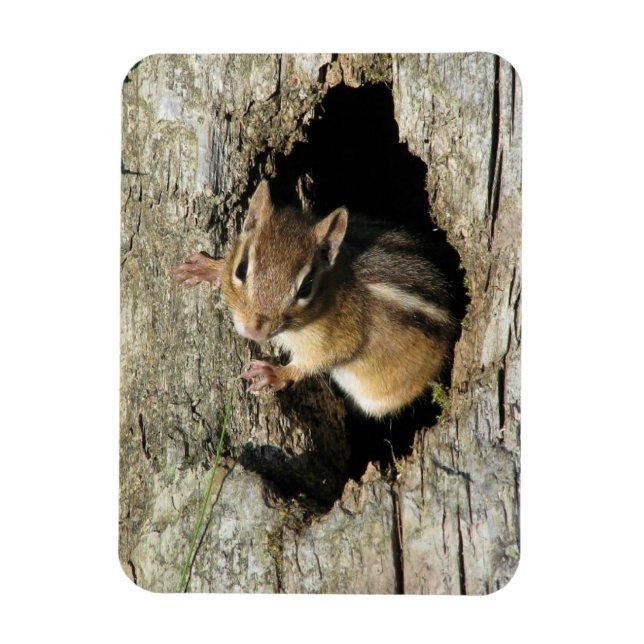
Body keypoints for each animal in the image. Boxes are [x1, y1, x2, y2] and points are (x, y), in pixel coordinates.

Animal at [173, 180, 458, 418]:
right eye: (241, 269)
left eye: (306, 287)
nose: (255, 330)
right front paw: (208, 268)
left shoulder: (341, 337)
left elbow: (316, 361)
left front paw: (275, 373)